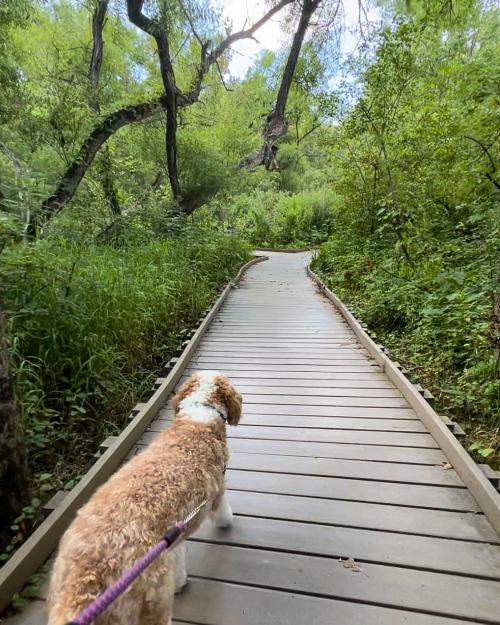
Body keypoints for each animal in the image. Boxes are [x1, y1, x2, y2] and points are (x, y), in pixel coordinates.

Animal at [47, 370, 243, 624]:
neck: (200, 413)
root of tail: (85, 583)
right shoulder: (217, 491)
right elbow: (222, 512)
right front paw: (227, 522)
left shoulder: (173, 539)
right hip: (154, 599)